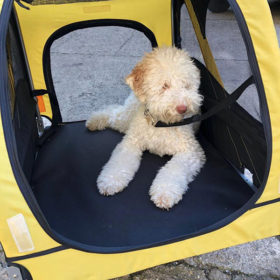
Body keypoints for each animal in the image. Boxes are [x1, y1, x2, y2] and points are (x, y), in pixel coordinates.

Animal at [86, 46, 207, 209]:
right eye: (165, 85)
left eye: (186, 85)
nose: (183, 108)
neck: (161, 123)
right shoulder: (130, 143)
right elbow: (119, 163)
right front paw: (110, 181)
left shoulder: (190, 151)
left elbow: (173, 171)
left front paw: (165, 193)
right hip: (126, 119)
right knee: (113, 113)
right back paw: (94, 120)